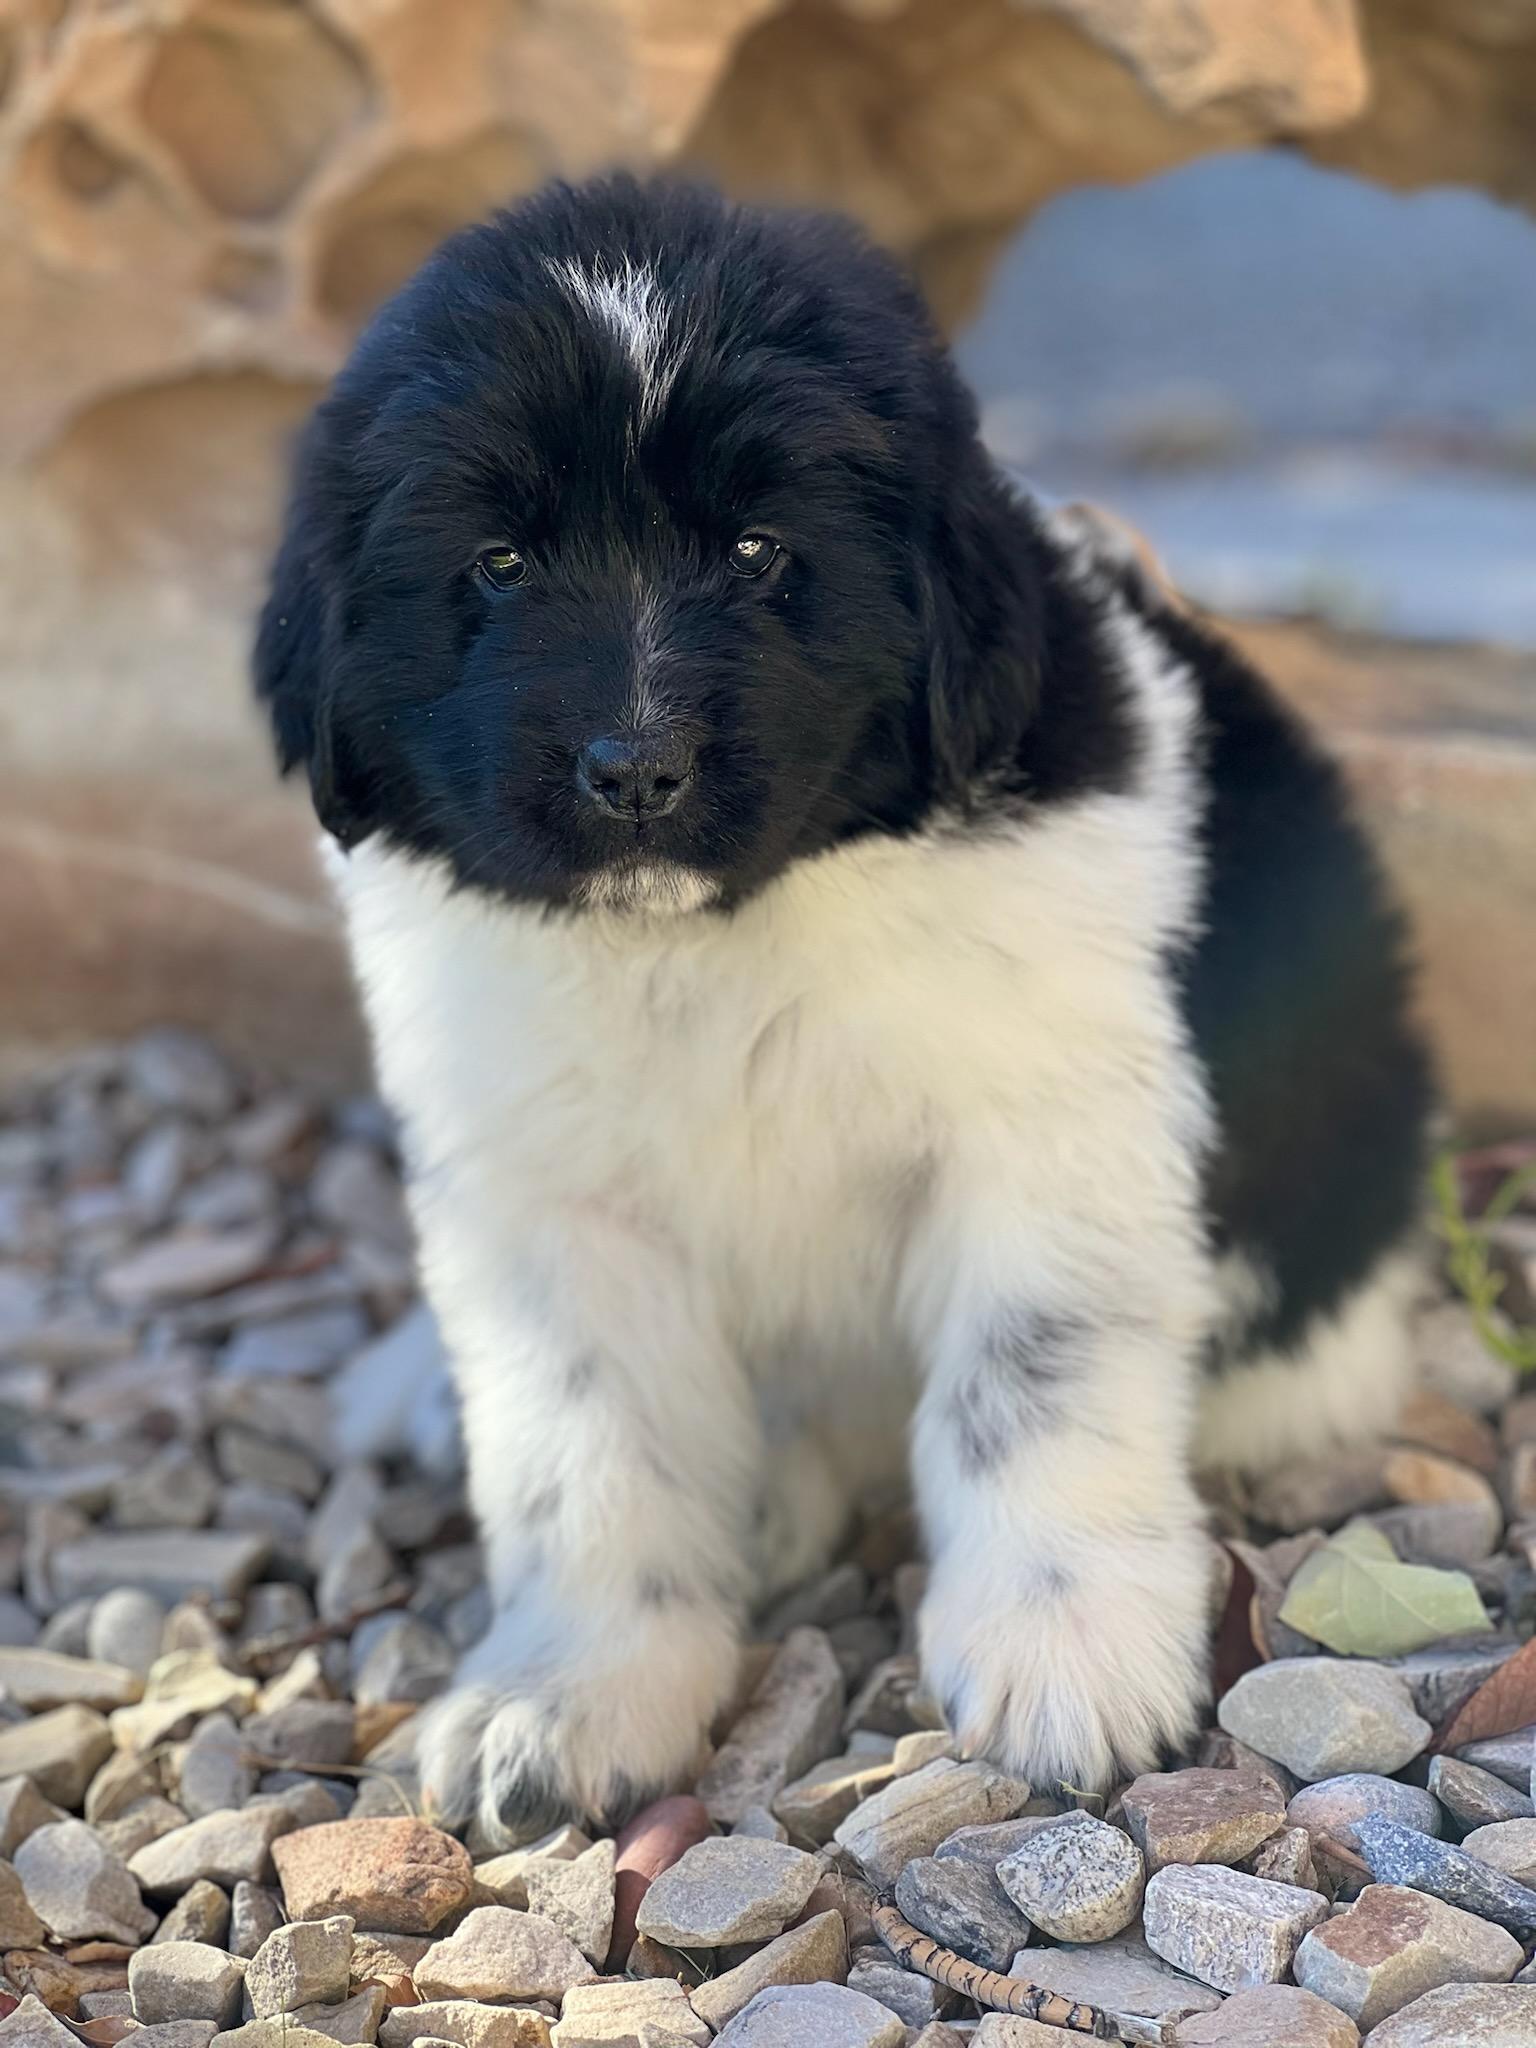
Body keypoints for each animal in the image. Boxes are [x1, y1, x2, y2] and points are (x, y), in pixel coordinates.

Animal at [255, 175, 1433, 1844]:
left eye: (761, 551)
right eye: (497, 563)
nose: (633, 767)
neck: (712, 939)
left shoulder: (1051, 1123)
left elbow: (1030, 1378)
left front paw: (1067, 1645)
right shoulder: (539, 1187)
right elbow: (585, 1445)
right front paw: (566, 1695)